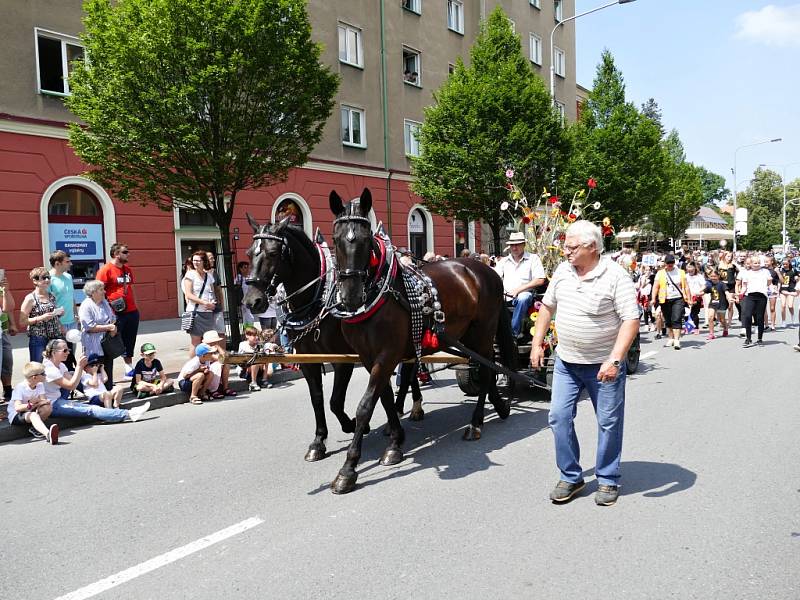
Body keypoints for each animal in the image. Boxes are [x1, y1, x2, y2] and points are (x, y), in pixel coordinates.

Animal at [242, 218, 418, 462]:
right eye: (250, 253)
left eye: (274, 253)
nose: (252, 302)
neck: (319, 298)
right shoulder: (309, 358)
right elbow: (317, 397)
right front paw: (319, 441)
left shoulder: (343, 358)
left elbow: (335, 401)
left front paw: (352, 425)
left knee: (409, 373)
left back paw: (410, 409)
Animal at [328, 190, 516, 494]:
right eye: (335, 238)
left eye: (366, 238)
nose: (350, 295)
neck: (379, 296)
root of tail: (485, 269)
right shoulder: (369, 358)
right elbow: (385, 398)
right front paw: (395, 443)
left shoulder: (387, 354)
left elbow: (366, 406)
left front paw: (348, 468)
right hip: (467, 335)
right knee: (485, 366)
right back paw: (498, 406)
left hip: (483, 332)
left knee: (488, 368)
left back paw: (476, 422)